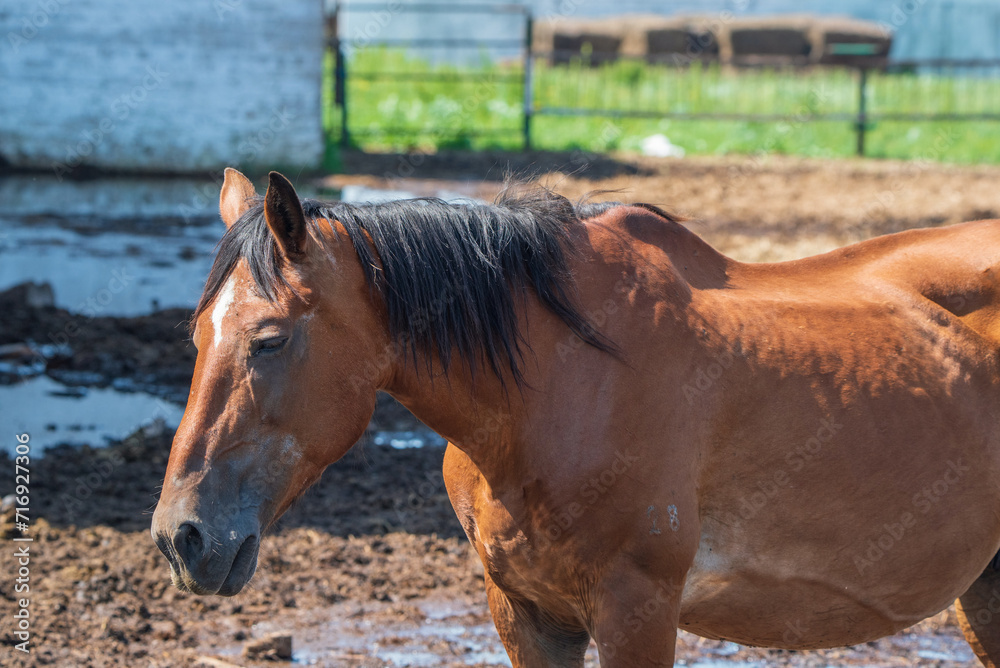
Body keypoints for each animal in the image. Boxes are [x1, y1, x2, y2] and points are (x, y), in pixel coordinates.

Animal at [152, 167, 1000, 667]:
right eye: (195, 336)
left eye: (269, 338)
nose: (181, 536)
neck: (560, 390)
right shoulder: (527, 613)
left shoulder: (637, 612)